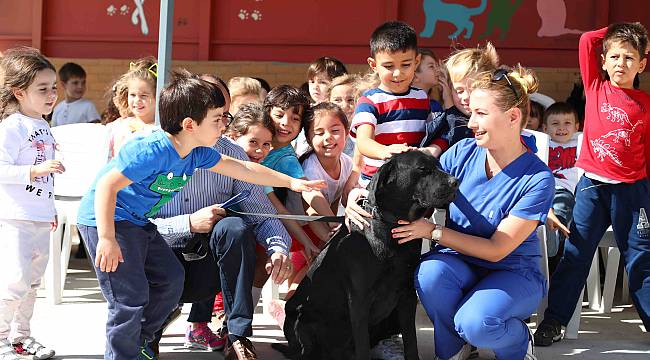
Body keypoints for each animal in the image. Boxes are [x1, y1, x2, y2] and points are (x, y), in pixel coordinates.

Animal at [272, 150, 456, 358]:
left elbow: (411, 340)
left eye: (438, 165)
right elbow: (362, 344)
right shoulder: (359, 300)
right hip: (302, 322)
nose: (455, 182)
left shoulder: (408, 294)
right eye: (422, 169)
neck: (390, 225)